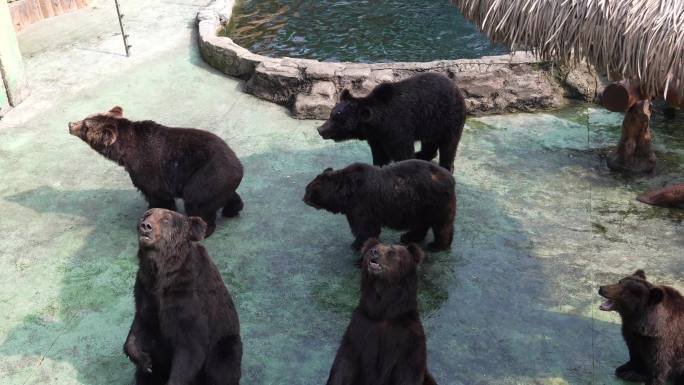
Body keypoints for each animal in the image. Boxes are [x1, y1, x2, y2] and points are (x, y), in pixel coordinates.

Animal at [68, 106, 244, 236]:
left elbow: (158, 196)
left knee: (196, 202)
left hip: (205, 175)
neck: (125, 153)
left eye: (85, 125)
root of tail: (239, 167)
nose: (70, 124)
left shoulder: (149, 168)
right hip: (219, 180)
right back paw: (232, 209)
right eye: (86, 117)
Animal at [124, 207, 242, 384]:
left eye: (166, 219)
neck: (163, 271)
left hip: (225, 341)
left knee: (223, 364)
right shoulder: (146, 289)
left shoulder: (187, 296)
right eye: (147, 214)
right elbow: (141, 325)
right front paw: (145, 361)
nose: (146, 226)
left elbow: (191, 345)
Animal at [300, 158, 452, 250]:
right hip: (420, 205)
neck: (346, 194)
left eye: (307, 190)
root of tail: (449, 176)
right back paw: (410, 236)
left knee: (441, 224)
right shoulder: (352, 210)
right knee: (422, 222)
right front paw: (355, 244)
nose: (303, 199)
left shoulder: (364, 203)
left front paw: (359, 248)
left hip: (433, 201)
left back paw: (437, 245)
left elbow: (367, 229)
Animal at [318, 73, 468, 172]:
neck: (379, 123)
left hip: (448, 117)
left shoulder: (398, 128)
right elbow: (379, 154)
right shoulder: (377, 137)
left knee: (449, 144)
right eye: (331, 115)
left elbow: (403, 152)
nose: (321, 129)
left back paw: (446, 167)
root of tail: (456, 87)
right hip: (432, 122)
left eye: (337, 119)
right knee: (429, 141)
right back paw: (421, 154)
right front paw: (378, 165)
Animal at [326, 237, 438, 384]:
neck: (383, 314)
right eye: (373, 248)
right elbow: (344, 366)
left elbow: (408, 372)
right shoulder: (359, 330)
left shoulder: (408, 342)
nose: (374, 252)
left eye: (392, 252)